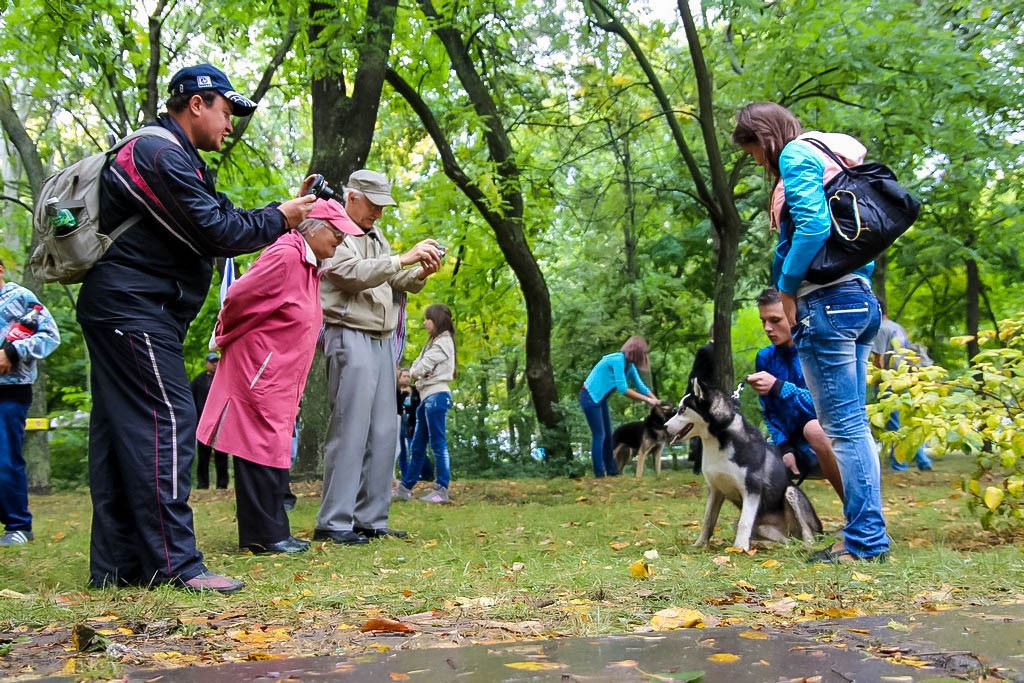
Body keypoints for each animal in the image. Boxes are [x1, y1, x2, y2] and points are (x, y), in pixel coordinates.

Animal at [663, 378, 823, 548]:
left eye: (682, 409)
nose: (664, 426)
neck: (719, 438)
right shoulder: (715, 489)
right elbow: (708, 521)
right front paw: (699, 544)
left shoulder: (751, 489)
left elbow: (744, 523)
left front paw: (739, 548)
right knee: (784, 541)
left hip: (792, 492)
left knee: (807, 533)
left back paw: (807, 545)